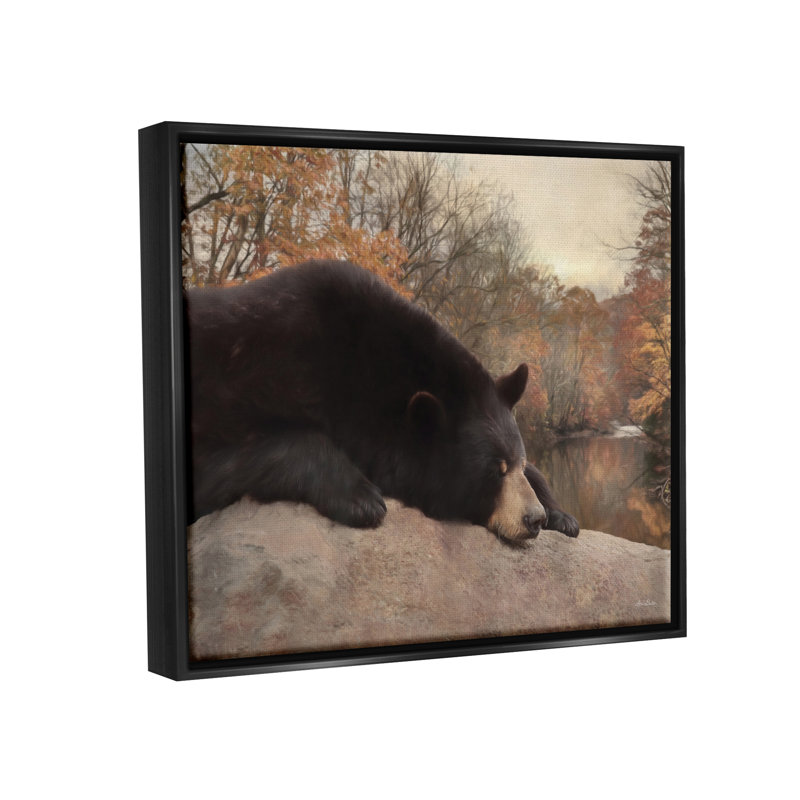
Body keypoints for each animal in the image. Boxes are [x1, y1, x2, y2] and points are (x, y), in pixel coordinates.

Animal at [184, 260, 579, 544]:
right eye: (493, 471)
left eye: (517, 463)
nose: (535, 519)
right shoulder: (246, 380)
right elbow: (235, 454)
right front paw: (362, 499)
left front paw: (563, 514)